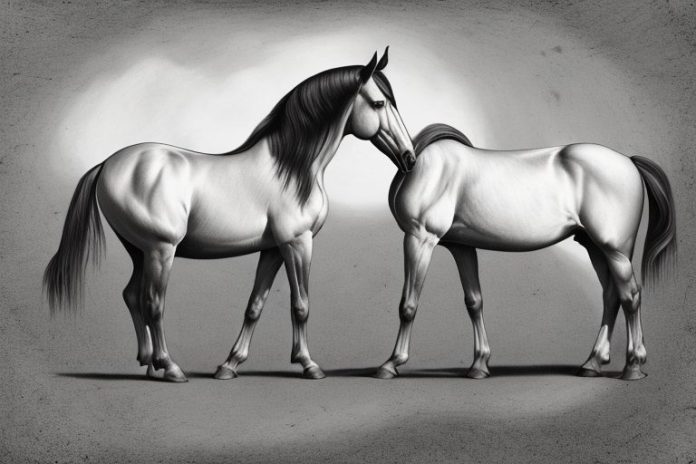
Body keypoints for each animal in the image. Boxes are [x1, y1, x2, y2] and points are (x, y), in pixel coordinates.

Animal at [44, 48, 416, 382]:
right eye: (379, 104)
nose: (409, 158)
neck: (291, 168)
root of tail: (108, 163)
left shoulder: (273, 248)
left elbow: (255, 306)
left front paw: (230, 365)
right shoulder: (298, 242)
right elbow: (301, 304)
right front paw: (310, 366)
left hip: (138, 251)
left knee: (132, 296)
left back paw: (150, 365)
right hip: (160, 250)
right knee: (152, 302)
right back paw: (170, 368)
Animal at [374, 123, 676, 381]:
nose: (407, 158)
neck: (427, 166)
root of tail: (629, 160)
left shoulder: (420, 238)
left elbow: (409, 304)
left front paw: (391, 363)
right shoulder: (462, 246)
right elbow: (474, 301)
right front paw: (479, 365)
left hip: (615, 250)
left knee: (630, 296)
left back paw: (633, 367)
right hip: (595, 247)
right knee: (611, 296)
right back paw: (592, 363)